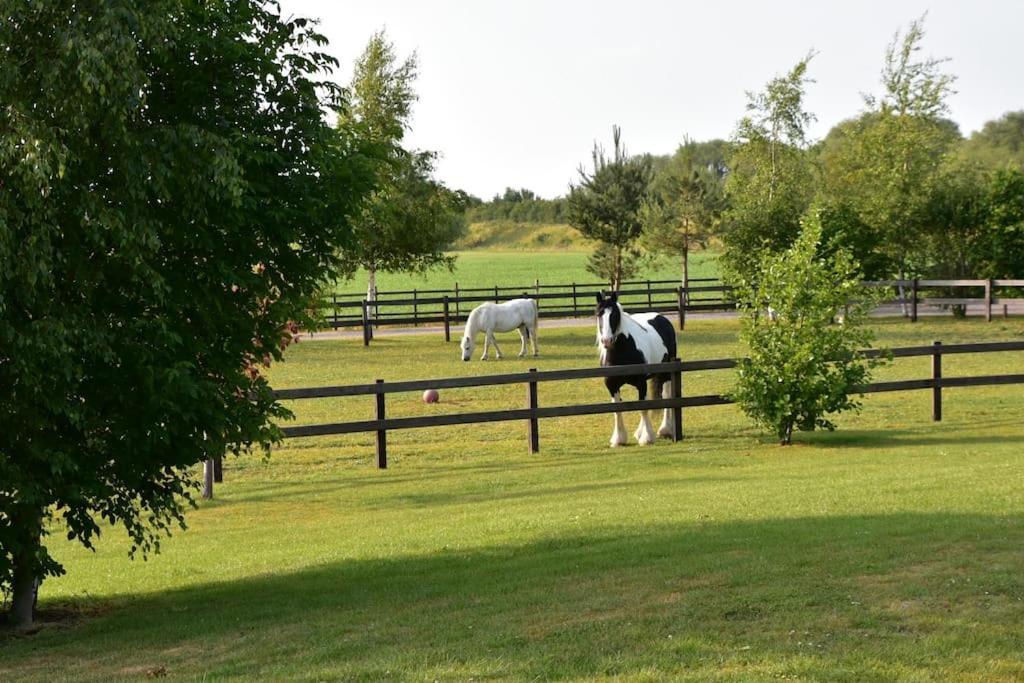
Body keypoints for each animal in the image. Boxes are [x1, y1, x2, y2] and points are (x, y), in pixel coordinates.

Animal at [598, 292, 675, 448]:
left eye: (614, 315)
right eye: (599, 314)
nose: (606, 341)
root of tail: (661, 318)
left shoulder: (641, 382)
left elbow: (643, 408)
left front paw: (647, 438)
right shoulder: (611, 385)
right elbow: (617, 410)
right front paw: (618, 439)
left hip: (665, 374)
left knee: (666, 396)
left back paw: (665, 430)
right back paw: (639, 432)